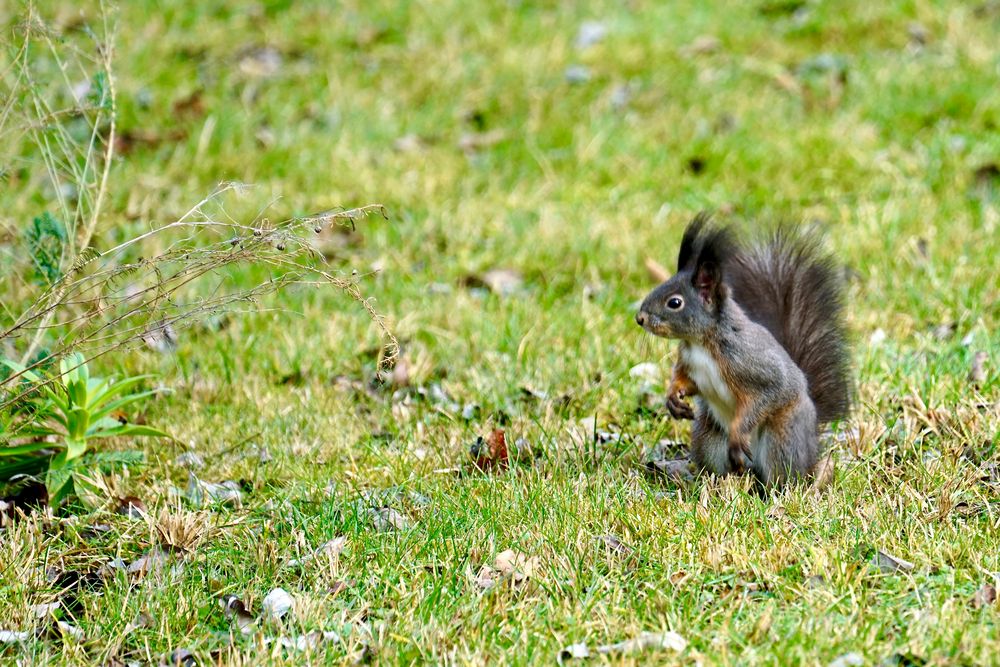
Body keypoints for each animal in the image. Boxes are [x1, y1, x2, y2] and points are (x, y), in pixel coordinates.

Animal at [636, 214, 848, 486]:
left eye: (674, 303)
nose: (639, 318)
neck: (701, 343)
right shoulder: (689, 362)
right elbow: (686, 380)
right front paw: (673, 397)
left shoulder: (751, 363)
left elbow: (767, 392)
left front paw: (738, 435)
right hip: (708, 435)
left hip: (782, 436)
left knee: (782, 475)